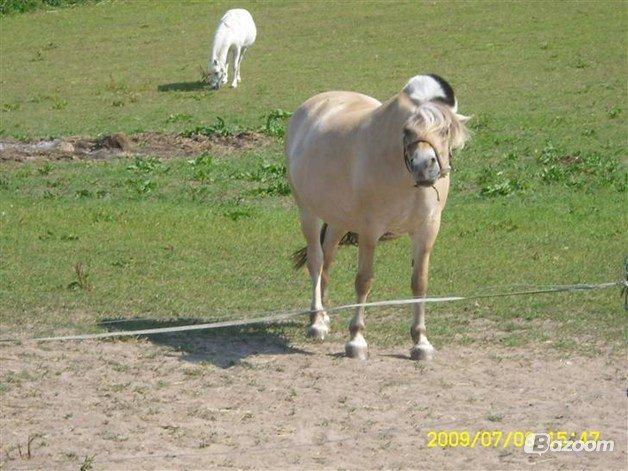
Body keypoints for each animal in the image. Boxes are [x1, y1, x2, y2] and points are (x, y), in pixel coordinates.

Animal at [288, 74, 468, 362]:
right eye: (407, 131)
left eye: (444, 130)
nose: (424, 166)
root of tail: (311, 106)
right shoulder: (370, 231)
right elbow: (364, 281)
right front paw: (356, 340)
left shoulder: (427, 231)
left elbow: (419, 283)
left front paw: (420, 342)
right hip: (308, 212)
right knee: (316, 261)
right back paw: (316, 322)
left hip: (338, 220)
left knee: (327, 260)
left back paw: (324, 317)